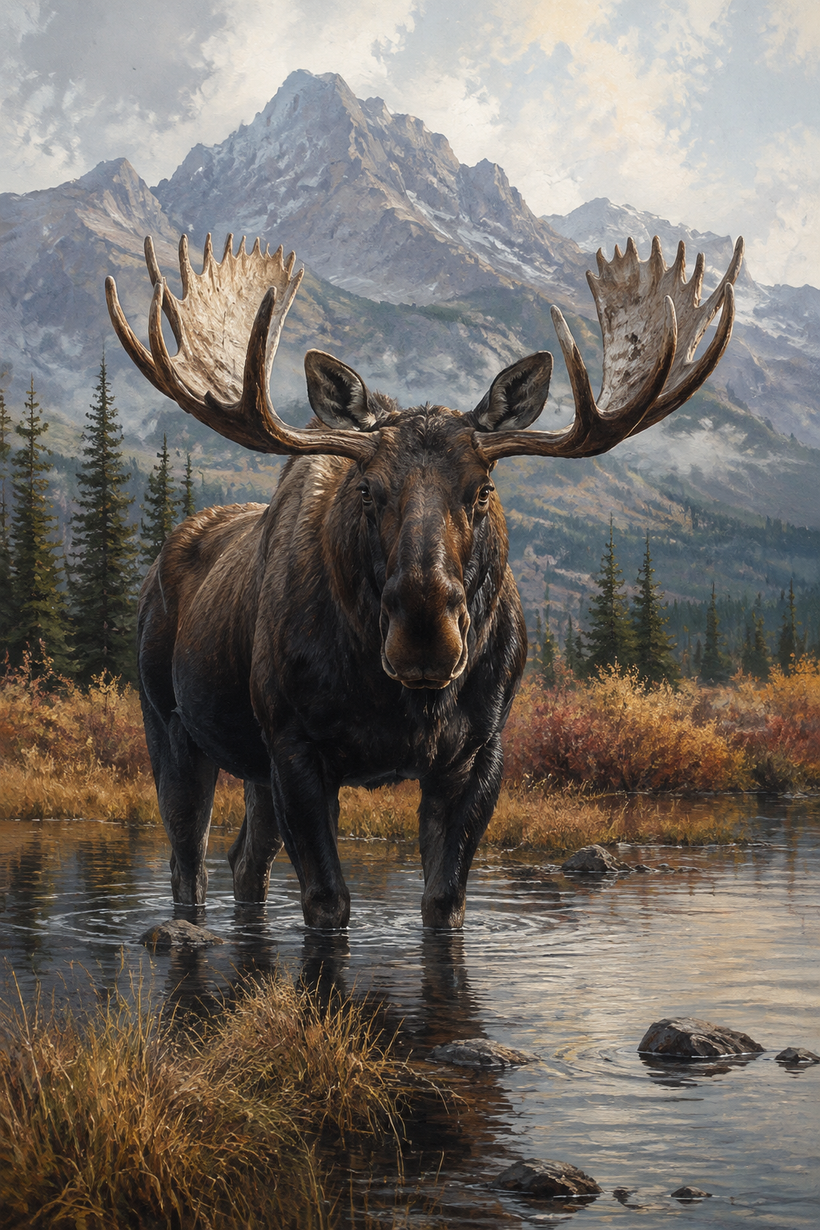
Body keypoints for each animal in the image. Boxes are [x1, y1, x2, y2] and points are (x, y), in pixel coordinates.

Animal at [106, 229, 743, 929]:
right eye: (367, 490)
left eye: (483, 489)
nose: (426, 636)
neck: (396, 701)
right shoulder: (295, 747)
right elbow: (328, 903)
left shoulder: (477, 752)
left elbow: (443, 902)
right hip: (169, 726)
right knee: (187, 862)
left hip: (251, 765)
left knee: (246, 860)